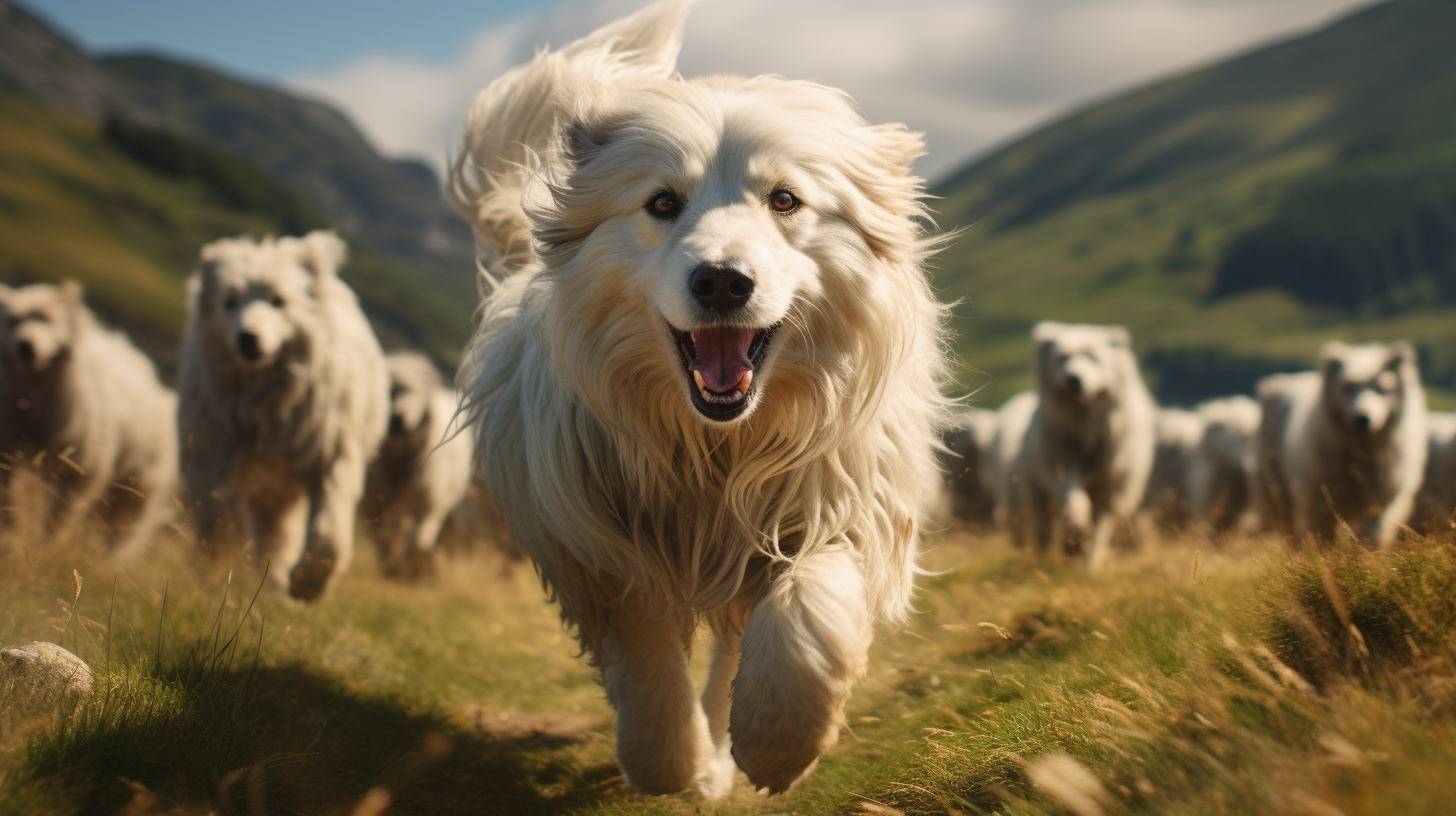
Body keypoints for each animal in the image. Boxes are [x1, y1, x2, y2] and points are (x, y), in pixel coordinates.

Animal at [0, 276, 177, 556]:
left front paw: (48, 547)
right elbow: (11, 498)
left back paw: (112, 560)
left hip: (138, 485)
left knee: (127, 530)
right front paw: (13, 532)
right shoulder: (11, 451)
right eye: (12, 320)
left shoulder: (83, 470)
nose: (25, 346)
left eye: (48, 319)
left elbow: (61, 518)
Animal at [176, 230, 390, 600]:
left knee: (279, 537)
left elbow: (329, 536)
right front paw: (212, 579)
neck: (265, 404)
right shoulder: (212, 455)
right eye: (229, 301)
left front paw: (307, 584)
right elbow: (214, 523)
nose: (247, 338)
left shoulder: (331, 456)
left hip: (284, 490)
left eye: (278, 301)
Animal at [362, 351, 471, 579]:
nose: (397, 418)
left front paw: (416, 568)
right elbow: (385, 537)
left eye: (416, 391)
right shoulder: (377, 501)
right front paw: (391, 565)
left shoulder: (429, 503)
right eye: (386, 390)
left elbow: (420, 539)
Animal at [1019, 322, 1153, 571]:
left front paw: (1088, 560)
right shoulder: (1061, 463)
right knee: (1044, 529)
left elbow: (1100, 527)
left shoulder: (1109, 485)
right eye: (1062, 358)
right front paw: (1076, 534)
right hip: (1037, 492)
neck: (1086, 428)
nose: (1073, 379)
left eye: (1093, 358)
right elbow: (1074, 500)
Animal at [1257, 340, 1426, 550]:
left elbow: (1372, 535)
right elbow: (1321, 538)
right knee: (1290, 531)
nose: (1363, 418)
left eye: (1382, 387)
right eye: (1347, 387)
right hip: (1277, 491)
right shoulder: (1317, 504)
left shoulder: (1382, 504)